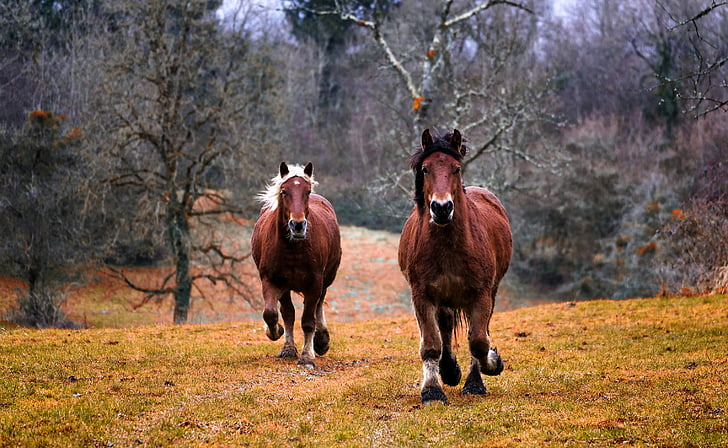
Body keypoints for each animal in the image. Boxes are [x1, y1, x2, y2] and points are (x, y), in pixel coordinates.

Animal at [250, 163, 342, 370]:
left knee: (318, 305)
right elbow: (273, 314)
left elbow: (308, 321)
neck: (292, 248)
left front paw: (307, 356)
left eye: (307, 191)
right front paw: (277, 334)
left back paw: (321, 341)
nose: (298, 225)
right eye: (284, 191)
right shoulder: (272, 281)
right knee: (288, 313)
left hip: (325, 280)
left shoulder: (314, 283)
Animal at [398, 128, 512, 404]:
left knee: (475, 331)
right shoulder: (422, 295)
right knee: (446, 328)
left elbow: (479, 341)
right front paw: (432, 390)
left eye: (456, 168)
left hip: (487, 293)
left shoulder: (481, 294)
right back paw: (448, 370)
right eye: (425, 169)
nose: (441, 208)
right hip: (444, 298)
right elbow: (431, 344)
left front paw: (490, 366)